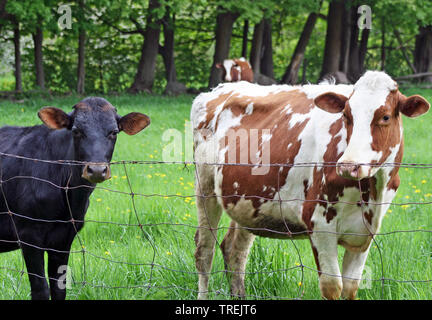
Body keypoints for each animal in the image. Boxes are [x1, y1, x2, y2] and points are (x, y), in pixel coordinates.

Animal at [192, 70, 428, 300]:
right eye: (346, 115)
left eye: (385, 116)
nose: (348, 166)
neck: (371, 192)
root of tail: (219, 89)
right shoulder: (319, 223)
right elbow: (333, 287)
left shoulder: (366, 233)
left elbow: (350, 287)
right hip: (205, 189)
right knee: (205, 252)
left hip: (248, 201)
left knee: (235, 251)